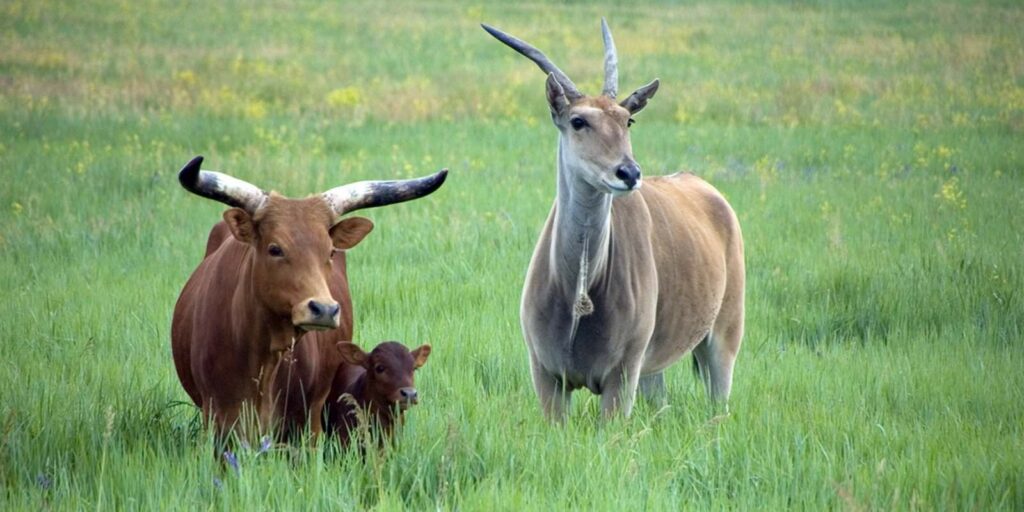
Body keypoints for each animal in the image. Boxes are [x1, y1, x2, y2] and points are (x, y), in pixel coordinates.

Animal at [169, 155, 446, 440]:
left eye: (331, 251)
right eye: (275, 249)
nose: (324, 310)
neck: (265, 359)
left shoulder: (304, 423)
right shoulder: (219, 419)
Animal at [481, 19, 745, 419]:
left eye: (628, 120)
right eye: (578, 121)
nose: (629, 173)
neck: (579, 291)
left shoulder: (621, 378)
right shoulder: (547, 376)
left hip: (724, 335)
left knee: (720, 400)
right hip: (652, 370)